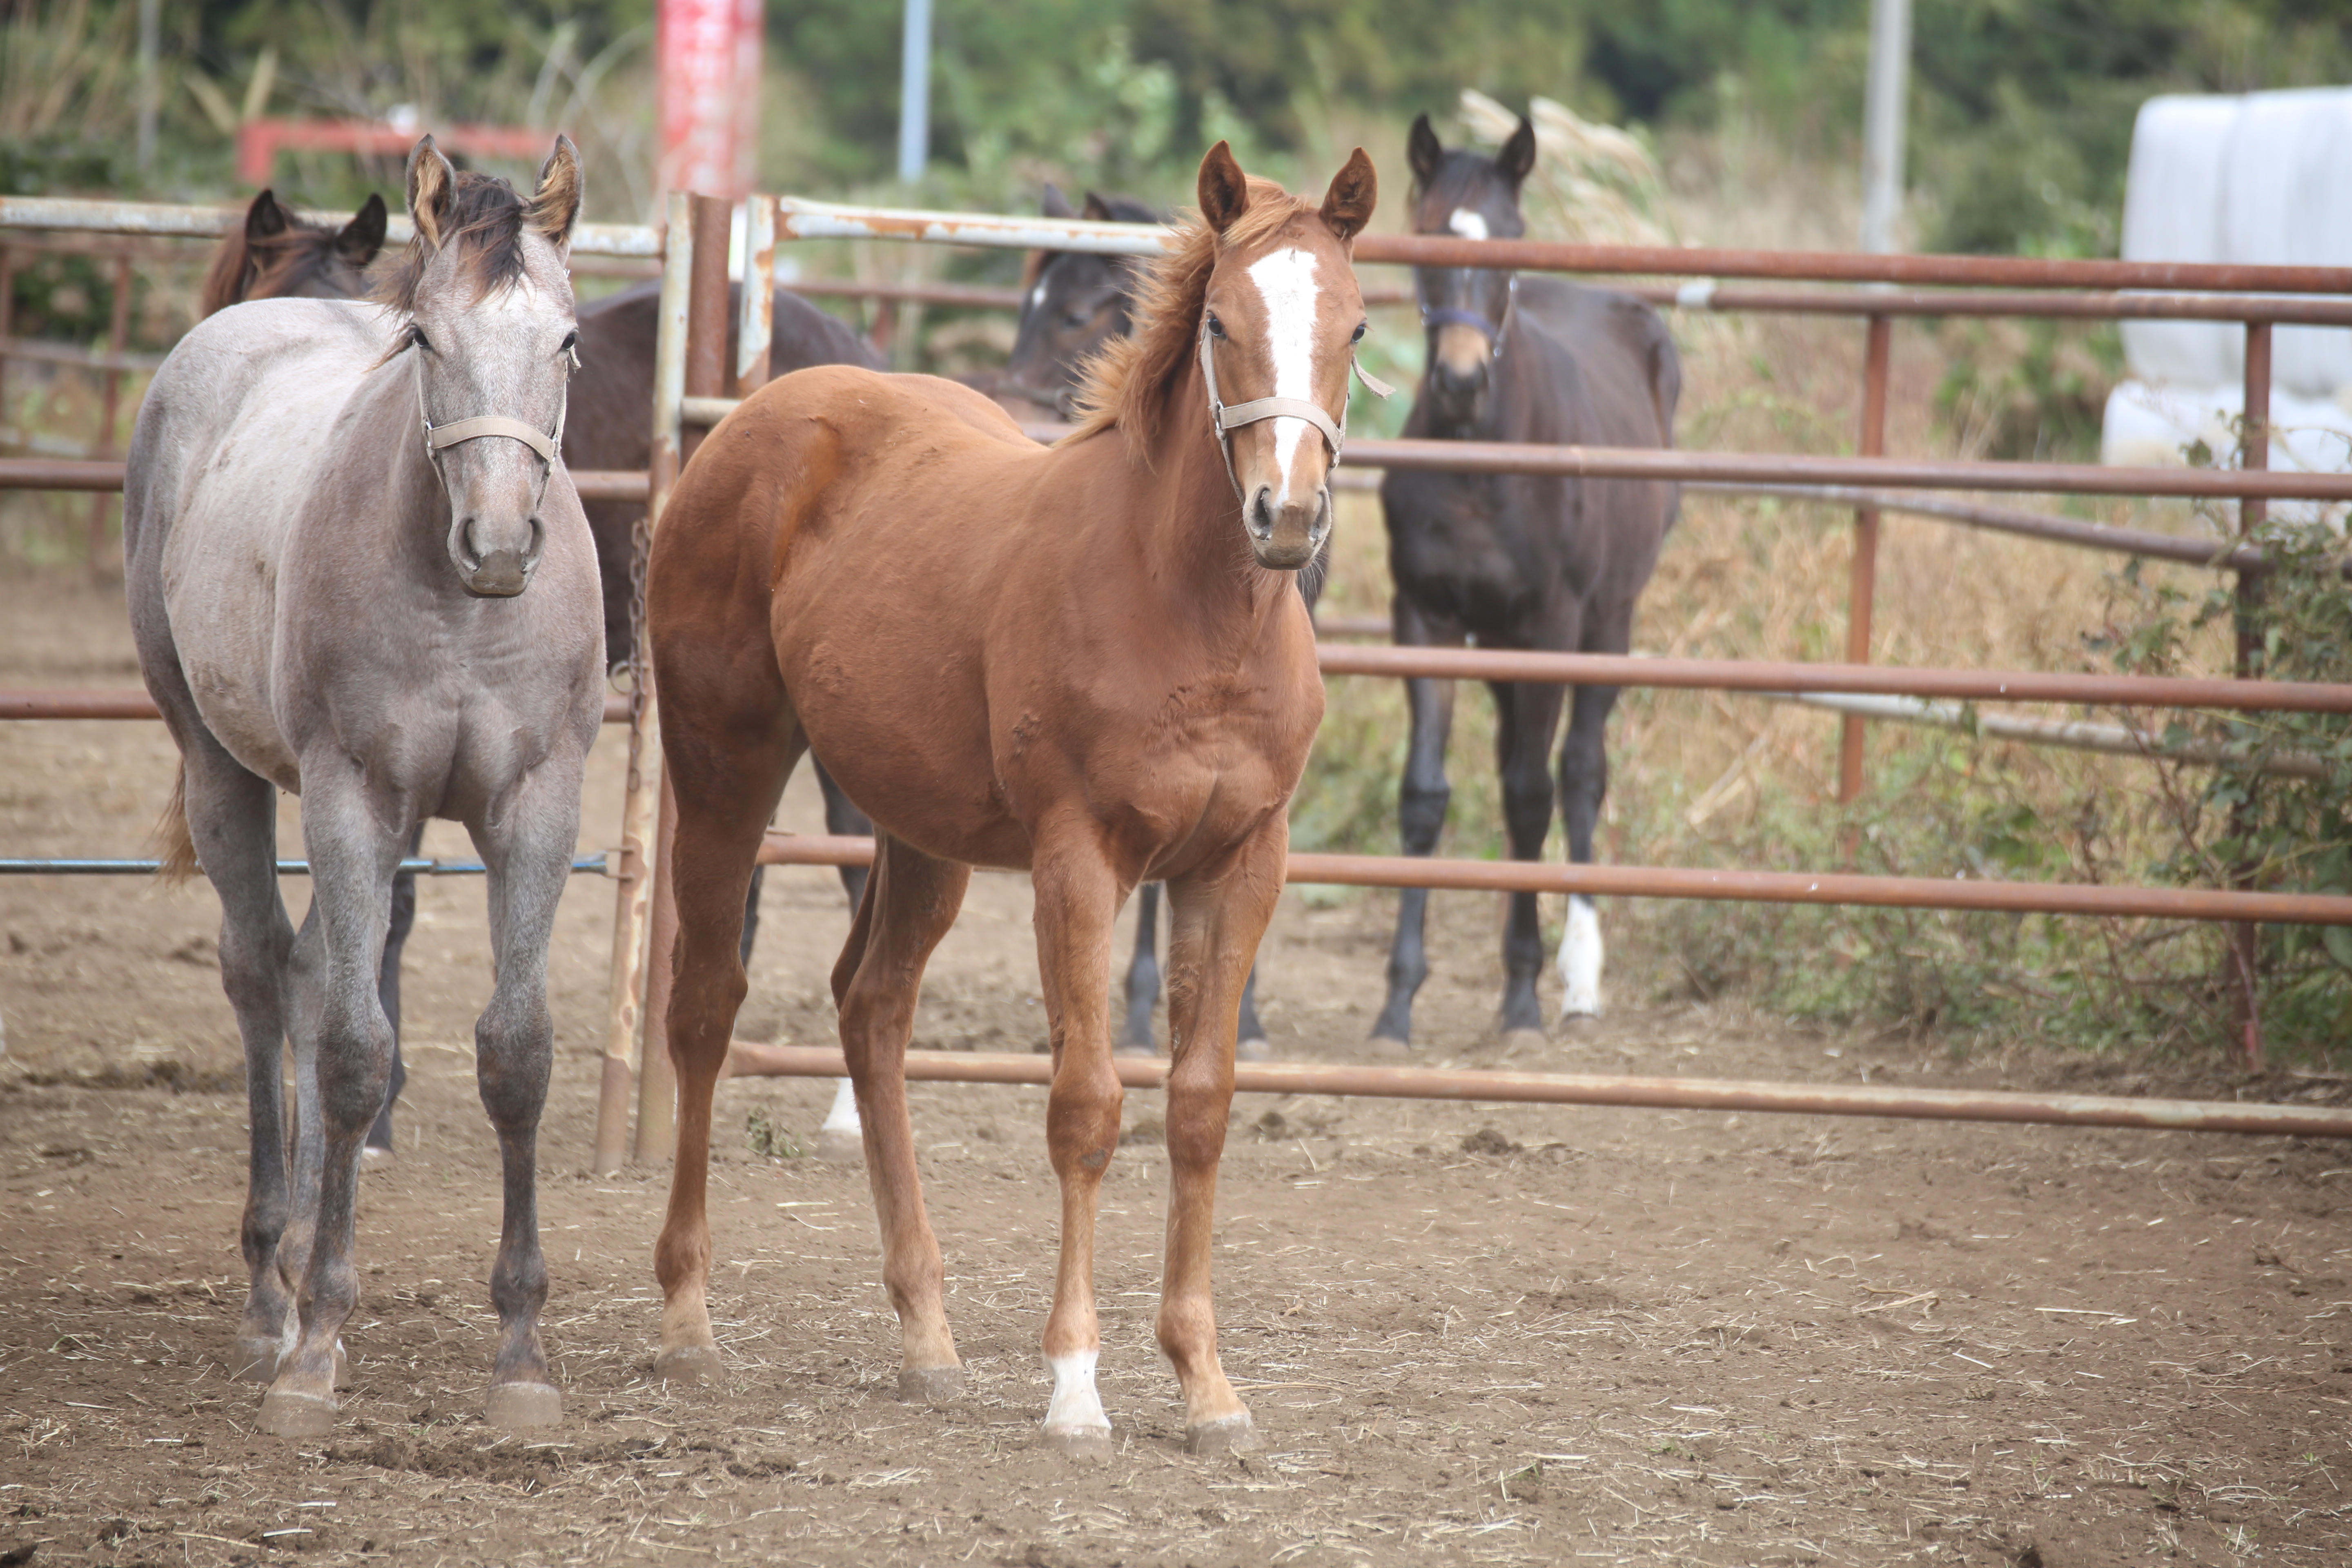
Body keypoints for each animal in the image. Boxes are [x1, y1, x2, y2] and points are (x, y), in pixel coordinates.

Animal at [125, 141, 607, 1439]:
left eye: (568, 340)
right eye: (427, 339)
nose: (500, 543)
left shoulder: (535, 807)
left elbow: (516, 1052)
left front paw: (523, 1352)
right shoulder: (352, 796)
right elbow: (350, 1050)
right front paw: (317, 1344)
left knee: (299, 969)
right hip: (221, 768)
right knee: (262, 979)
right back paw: (272, 1288)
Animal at [644, 141, 1373, 1457]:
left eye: (1355, 322)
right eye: (1224, 322)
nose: (1286, 518)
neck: (1190, 610)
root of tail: (754, 422)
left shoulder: (1242, 860)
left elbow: (1199, 1105)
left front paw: (1205, 1383)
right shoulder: (1078, 857)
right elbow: (1086, 1106)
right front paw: (1075, 1383)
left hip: (918, 832)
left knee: (871, 1009)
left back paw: (926, 1336)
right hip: (724, 764)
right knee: (706, 1006)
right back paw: (687, 1317)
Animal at [1373, 116, 1684, 1048]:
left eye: (1510, 233)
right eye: (1429, 232)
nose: (1461, 381)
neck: (1487, 462)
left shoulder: (1552, 625)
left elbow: (1528, 795)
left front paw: (1522, 995)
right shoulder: (1427, 622)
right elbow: (1425, 797)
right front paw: (1398, 1002)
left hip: (1606, 625)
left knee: (1578, 773)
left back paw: (1579, 975)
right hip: (1503, 650)